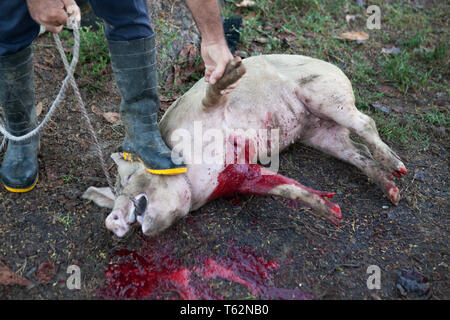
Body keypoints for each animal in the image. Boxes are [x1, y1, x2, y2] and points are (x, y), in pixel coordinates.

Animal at [81, 54, 408, 238]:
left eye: (127, 178)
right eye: (113, 196)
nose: (111, 222)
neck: (195, 176)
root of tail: (336, 68)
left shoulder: (206, 111)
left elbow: (214, 93)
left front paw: (231, 71)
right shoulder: (236, 175)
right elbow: (281, 186)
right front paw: (333, 211)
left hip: (326, 95)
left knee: (366, 122)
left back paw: (398, 168)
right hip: (320, 135)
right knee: (356, 152)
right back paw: (393, 192)